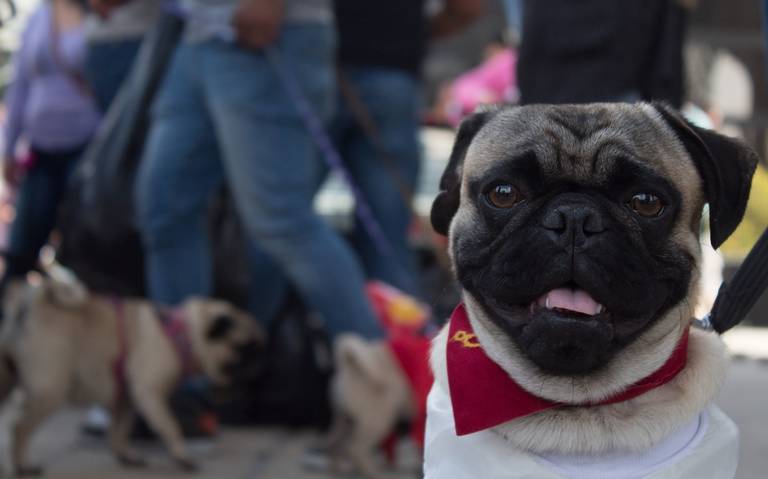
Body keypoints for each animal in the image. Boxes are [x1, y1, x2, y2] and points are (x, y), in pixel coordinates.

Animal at [0, 274, 264, 476]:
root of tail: (30, 302)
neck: (182, 336)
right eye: (244, 348)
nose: (259, 361)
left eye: (255, 348)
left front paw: (126, 456)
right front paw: (182, 457)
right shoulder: (149, 393)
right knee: (19, 429)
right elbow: (170, 427)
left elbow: (120, 429)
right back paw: (23, 466)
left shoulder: (127, 399)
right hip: (51, 390)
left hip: (8, 379)